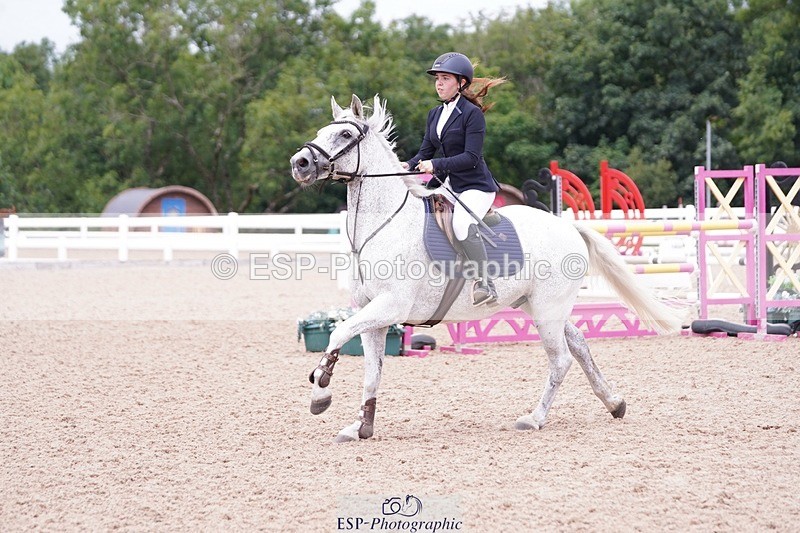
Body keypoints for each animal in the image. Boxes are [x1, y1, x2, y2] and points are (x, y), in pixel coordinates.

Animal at [290, 94, 681, 443]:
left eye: (345, 134)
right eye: (323, 130)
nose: (300, 163)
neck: (385, 225)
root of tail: (569, 227)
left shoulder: (391, 307)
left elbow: (339, 333)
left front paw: (320, 392)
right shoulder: (373, 314)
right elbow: (372, 372)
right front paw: (361, 427)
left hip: (547, 309)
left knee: (561, 360)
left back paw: (534, 418)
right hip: (539, 306)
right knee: (580, 345)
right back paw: (614, 402)